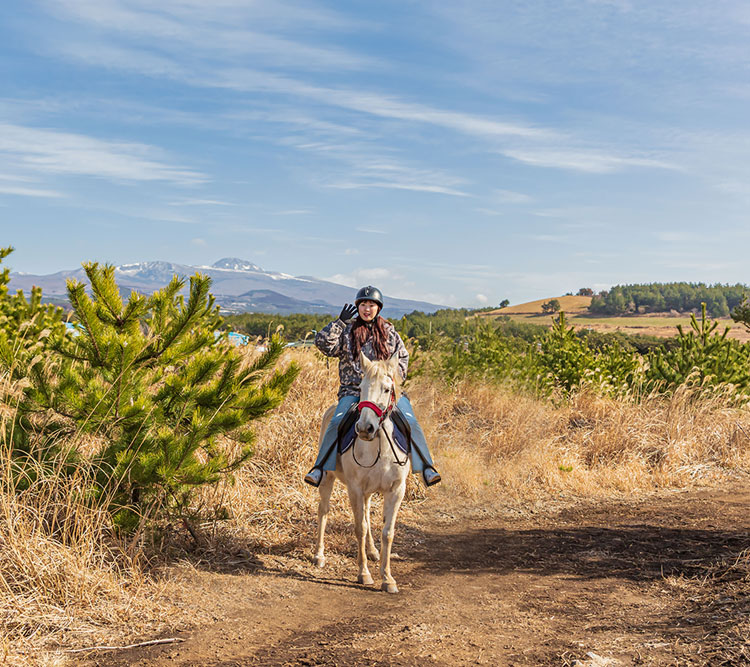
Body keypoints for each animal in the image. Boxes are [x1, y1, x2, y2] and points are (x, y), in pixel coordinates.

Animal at [316, 352, 414, 592]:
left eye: (387, 389)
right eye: (360, 388)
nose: (364, 429)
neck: (380, 447)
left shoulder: (396, 490)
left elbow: (387, 532)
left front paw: (387, 578)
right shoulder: (355, 489)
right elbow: (359, 527)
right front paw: (364, 574)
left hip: (369, 492)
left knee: (368, 514)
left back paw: (372, 551)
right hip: (327, 479)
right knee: (324, 510)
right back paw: (319, 555)